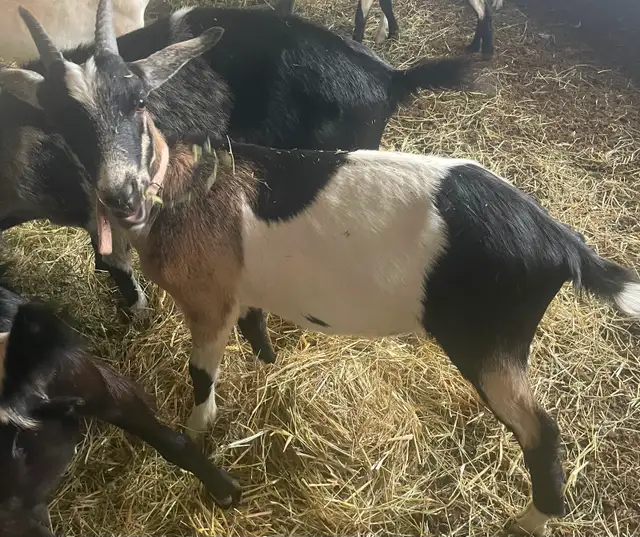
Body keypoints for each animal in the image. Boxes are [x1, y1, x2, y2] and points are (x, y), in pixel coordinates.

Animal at [353, 0, 503, 56]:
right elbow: (363, 14)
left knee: (483, 10)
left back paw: (486, 52)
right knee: (482, 10)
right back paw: (476, 47)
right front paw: (393, 32)